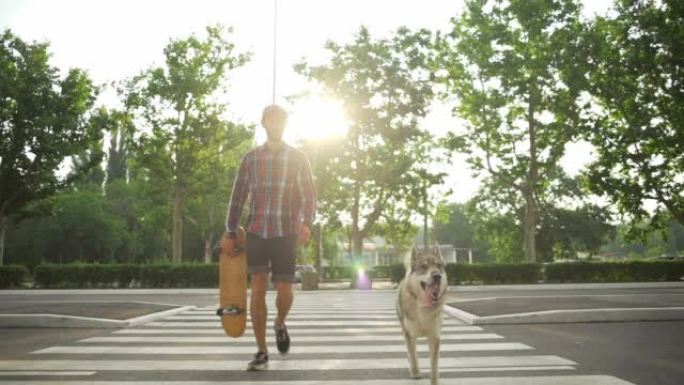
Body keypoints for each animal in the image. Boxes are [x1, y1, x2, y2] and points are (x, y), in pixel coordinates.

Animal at [396, 242, 448, 384]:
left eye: (439, 266)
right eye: (424, 267)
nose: (437, 276)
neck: (424, 306)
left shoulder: (434, 336)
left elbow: (434, 364)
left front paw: (434, 381)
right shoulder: (409, 334)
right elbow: (413, 356)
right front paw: (415, 373)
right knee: (410, 353)